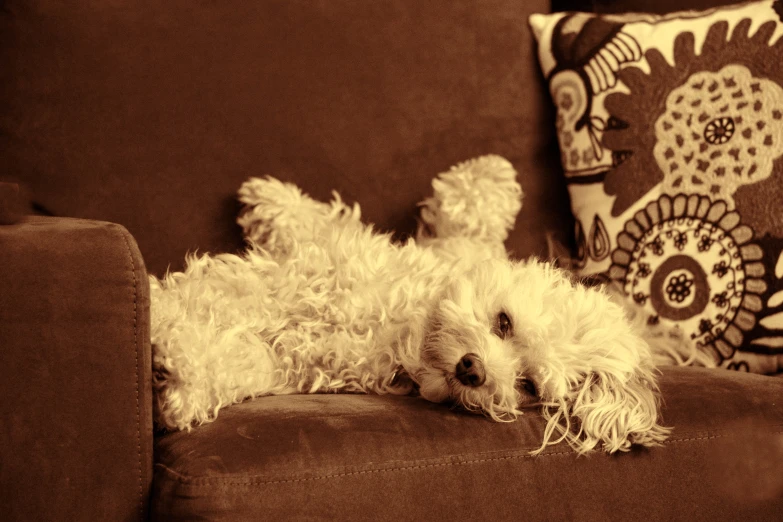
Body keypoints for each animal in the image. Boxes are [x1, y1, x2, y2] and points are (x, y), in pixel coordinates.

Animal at [150, 154, 700, 450]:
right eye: (503, 322)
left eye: (526, 385)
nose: (473, 370)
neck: (397, 328)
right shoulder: (306, 270)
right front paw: (160, 309)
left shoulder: (292, 362)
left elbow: (237, 360)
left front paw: (180, 371)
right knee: (462, 223)